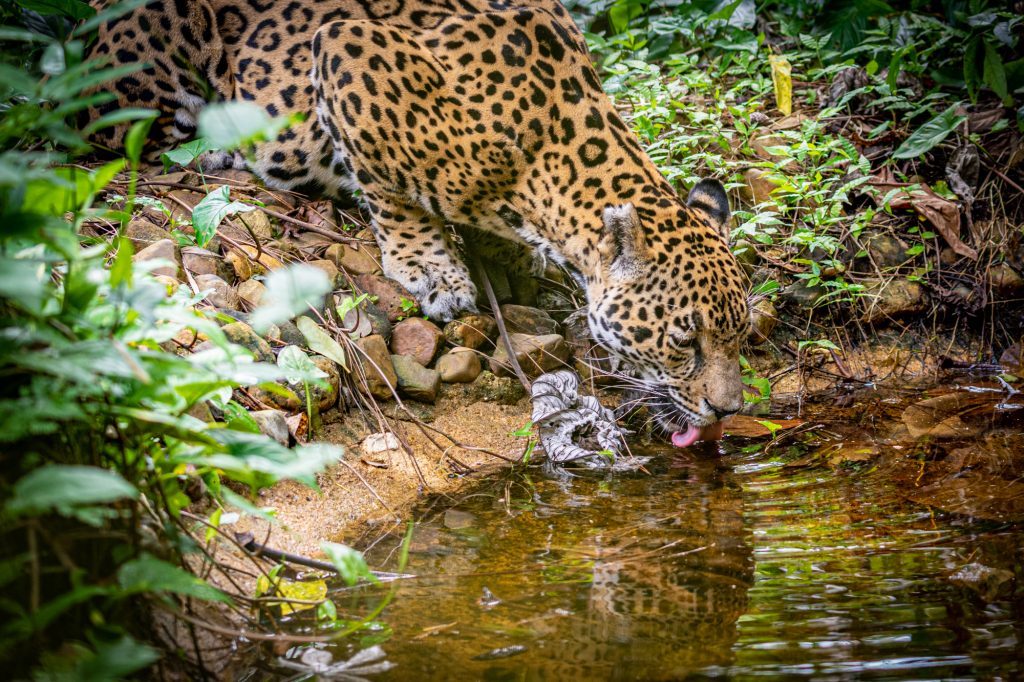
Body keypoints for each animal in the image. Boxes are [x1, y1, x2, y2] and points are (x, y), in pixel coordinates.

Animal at [85, 0, 750, 445]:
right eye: (684, 343)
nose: (729, 411)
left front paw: (508, 256)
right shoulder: (346, 49)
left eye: (740, 336)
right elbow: (390, 193)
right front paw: (432, 269)